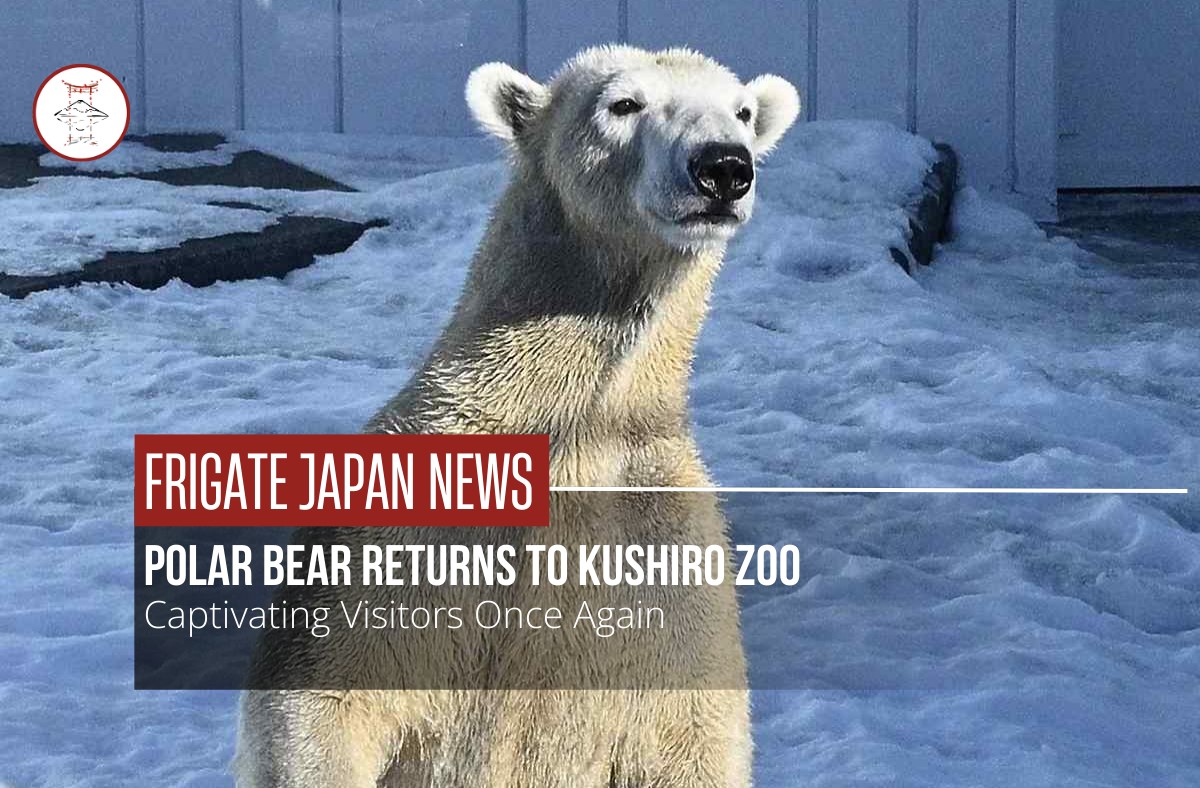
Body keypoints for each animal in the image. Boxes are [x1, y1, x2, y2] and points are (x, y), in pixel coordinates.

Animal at [234, 45, 799, 787]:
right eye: (624, 103)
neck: (575, 428)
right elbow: (325, 696)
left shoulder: (664, 554)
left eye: (742, 111)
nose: (724, 167)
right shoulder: (401, 534)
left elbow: (691, 733)